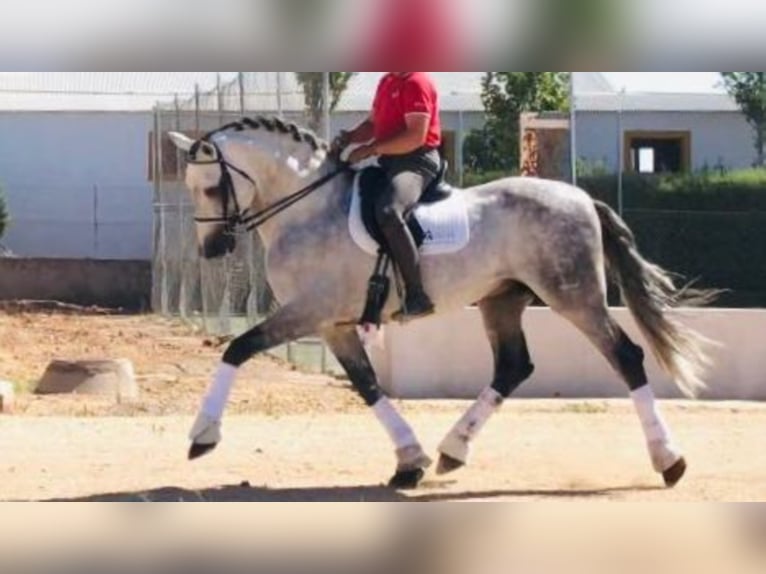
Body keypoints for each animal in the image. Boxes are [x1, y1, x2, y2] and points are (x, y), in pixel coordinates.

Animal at [171, 117, 716, 490]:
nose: (212, 249)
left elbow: (236, 349)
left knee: (625, 356)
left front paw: (202, 436)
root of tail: (582, 198)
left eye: (213, 186)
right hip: (502, 300)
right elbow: (367, 386)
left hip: (574, 295)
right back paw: (453, 450)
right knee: (513, 366)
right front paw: (409, 460)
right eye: (190, 188)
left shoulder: (310, 312)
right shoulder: (334, 325)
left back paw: (669, 460)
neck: (308, 209)